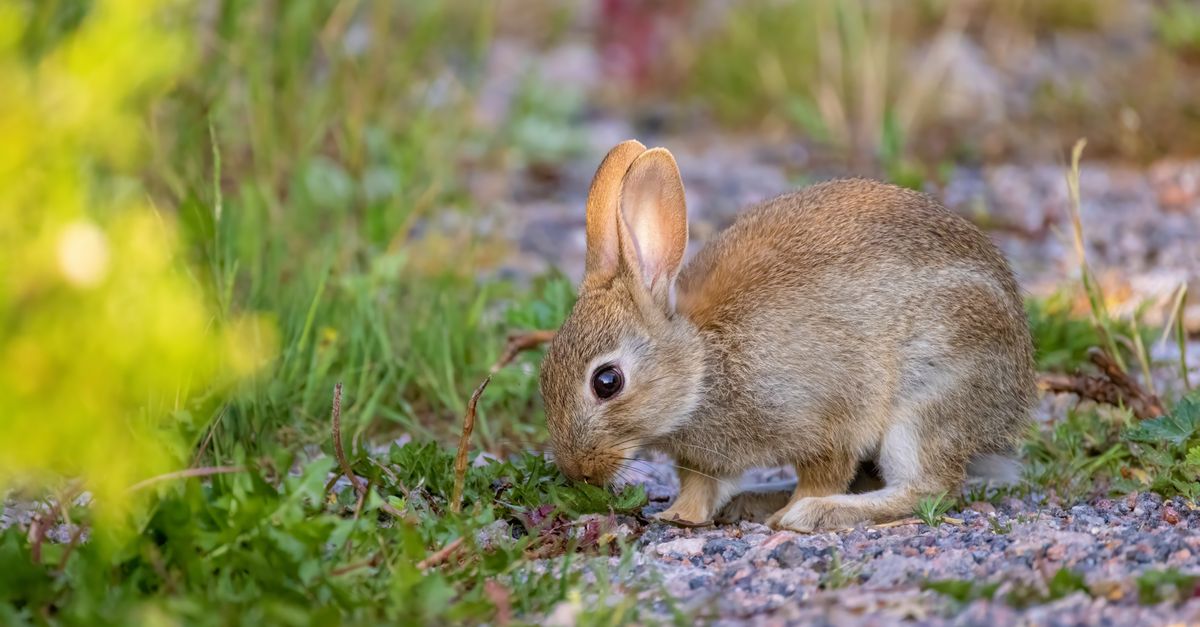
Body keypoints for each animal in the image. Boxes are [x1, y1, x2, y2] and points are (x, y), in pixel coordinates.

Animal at [538, 139, 1036, 531]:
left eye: (607, 382)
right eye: (544, 374)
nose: (578, 471)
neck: (702, 368)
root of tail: (1014, 401)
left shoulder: (829, 418)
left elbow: (824, 472)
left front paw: (798, 510)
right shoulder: (704, 459)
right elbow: (699, 487)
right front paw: (678, 515)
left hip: (927, 396)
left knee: (929, 487)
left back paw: (813, 513)